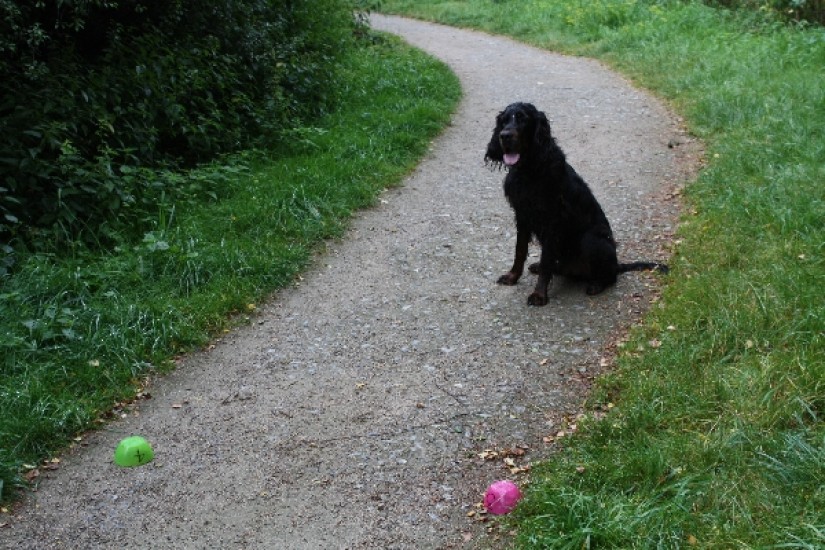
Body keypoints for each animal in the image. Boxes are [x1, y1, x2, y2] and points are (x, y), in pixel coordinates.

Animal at [484, 102, 668, 306]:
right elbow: (520, 251)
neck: (529, 170)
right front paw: (513, 276)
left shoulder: (552, 221)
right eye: (503, 121)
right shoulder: (522, 215)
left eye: (523, 119)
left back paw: (596, 285)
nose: (505, 136)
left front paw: (539, 294)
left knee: (610, 276)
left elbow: (546, 260)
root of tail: (617, 264)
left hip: (592, 240)